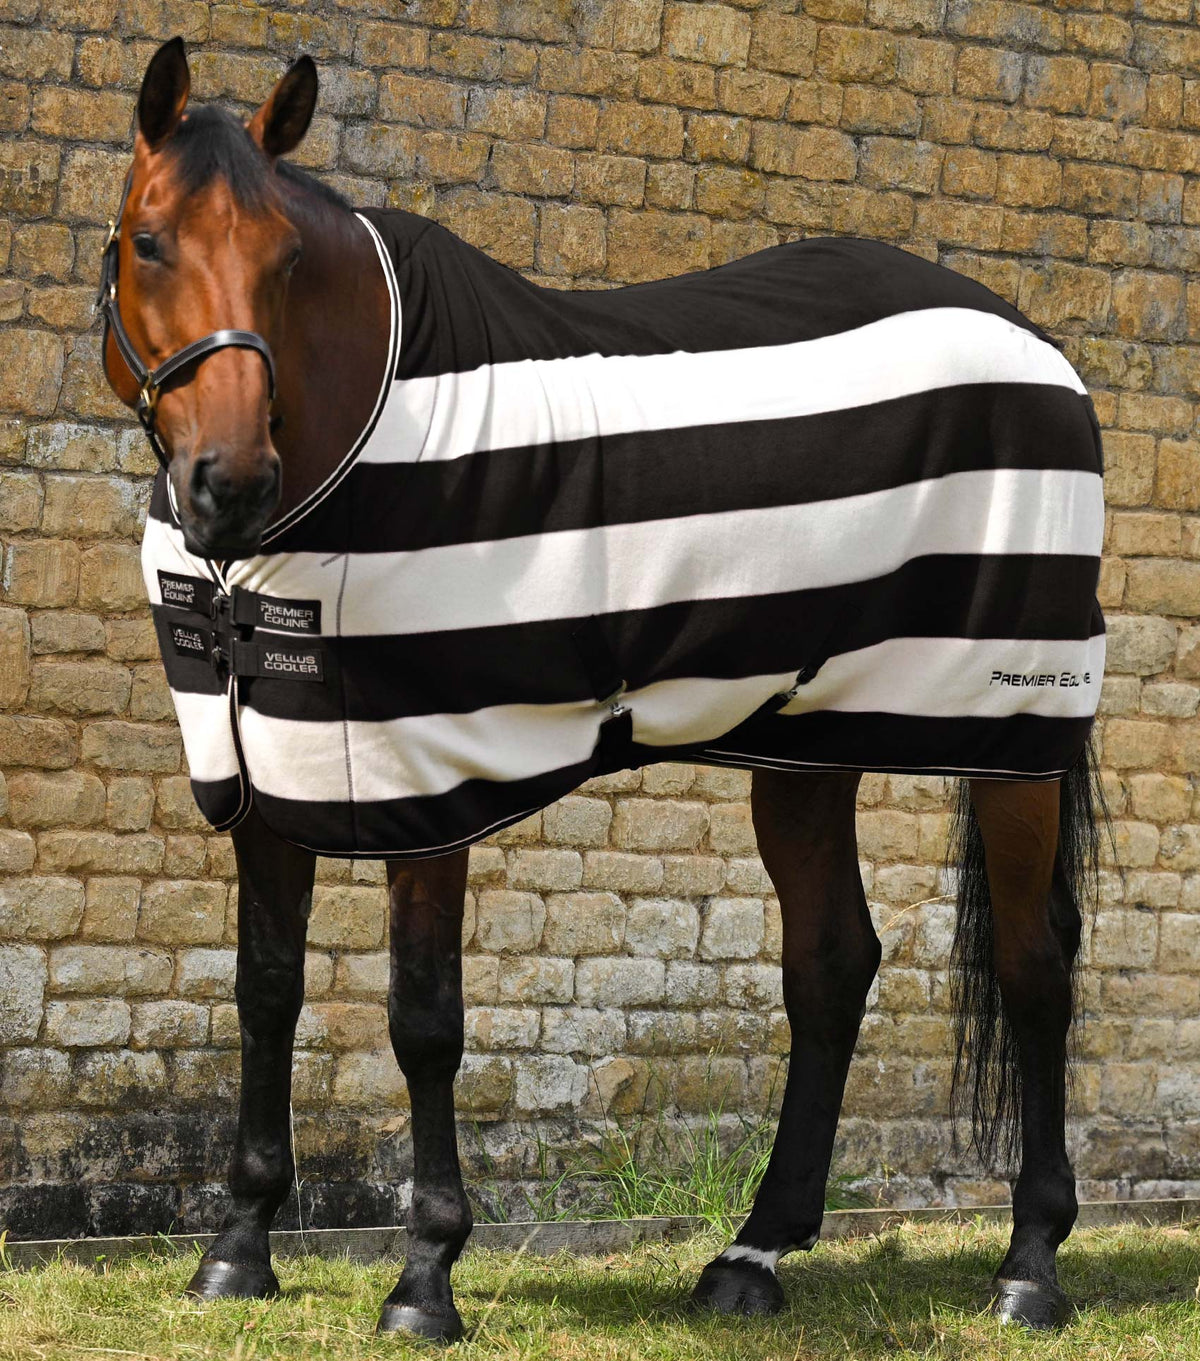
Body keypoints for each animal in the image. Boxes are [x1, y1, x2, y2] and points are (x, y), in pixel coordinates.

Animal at [99, 38, 1106, 1341]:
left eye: (287, 260)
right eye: (149, 241)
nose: (229, 484)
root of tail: (1037, 344)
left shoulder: (432, 774)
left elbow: (424, 1019)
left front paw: (425, 1275)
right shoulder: (265, 770)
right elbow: (264, 989)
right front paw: (237, 1246)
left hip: (1011, 729)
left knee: (1034, 966)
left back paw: (1030, 1264)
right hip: (807, 734)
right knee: (832, 961)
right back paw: (753, 1253)